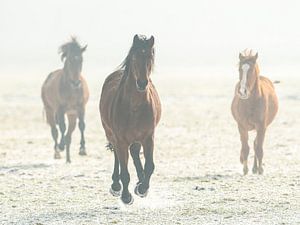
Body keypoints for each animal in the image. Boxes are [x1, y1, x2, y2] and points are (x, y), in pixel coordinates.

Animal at [99, 34, 162, 204]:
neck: (134, 107)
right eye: (134, 57)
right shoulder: (120, 139)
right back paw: (116, 186)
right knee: (118, 156)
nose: (142, 83)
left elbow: (150, 166)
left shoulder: (148, 137)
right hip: (111, 134)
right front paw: (126, 196)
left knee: (134, 153)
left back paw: (140, 180)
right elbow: (124, 172)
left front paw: (142, 188)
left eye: (150, 56)